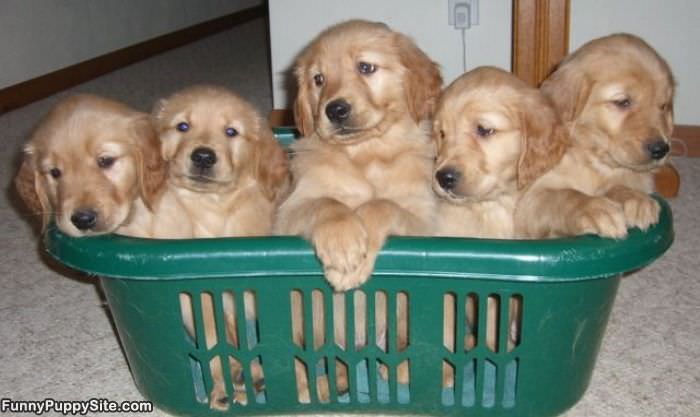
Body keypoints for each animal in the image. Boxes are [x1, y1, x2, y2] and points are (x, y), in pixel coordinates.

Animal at [276, 19, 440, 290]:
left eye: (365, 67)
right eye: (319, 79)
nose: (335, 110)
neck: (365, 154)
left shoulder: (426, 221)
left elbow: (381, 204)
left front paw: (355, 262)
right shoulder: (287, 212)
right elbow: (327, 202)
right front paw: (342, 243)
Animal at [516, 33, 676, 237]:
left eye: (663, 106)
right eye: (623, 102)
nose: (660, 149)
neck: (594, 162)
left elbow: (617, 186)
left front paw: (635, 198)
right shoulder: (527, 202)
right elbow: (565, 195)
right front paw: (595, 209)